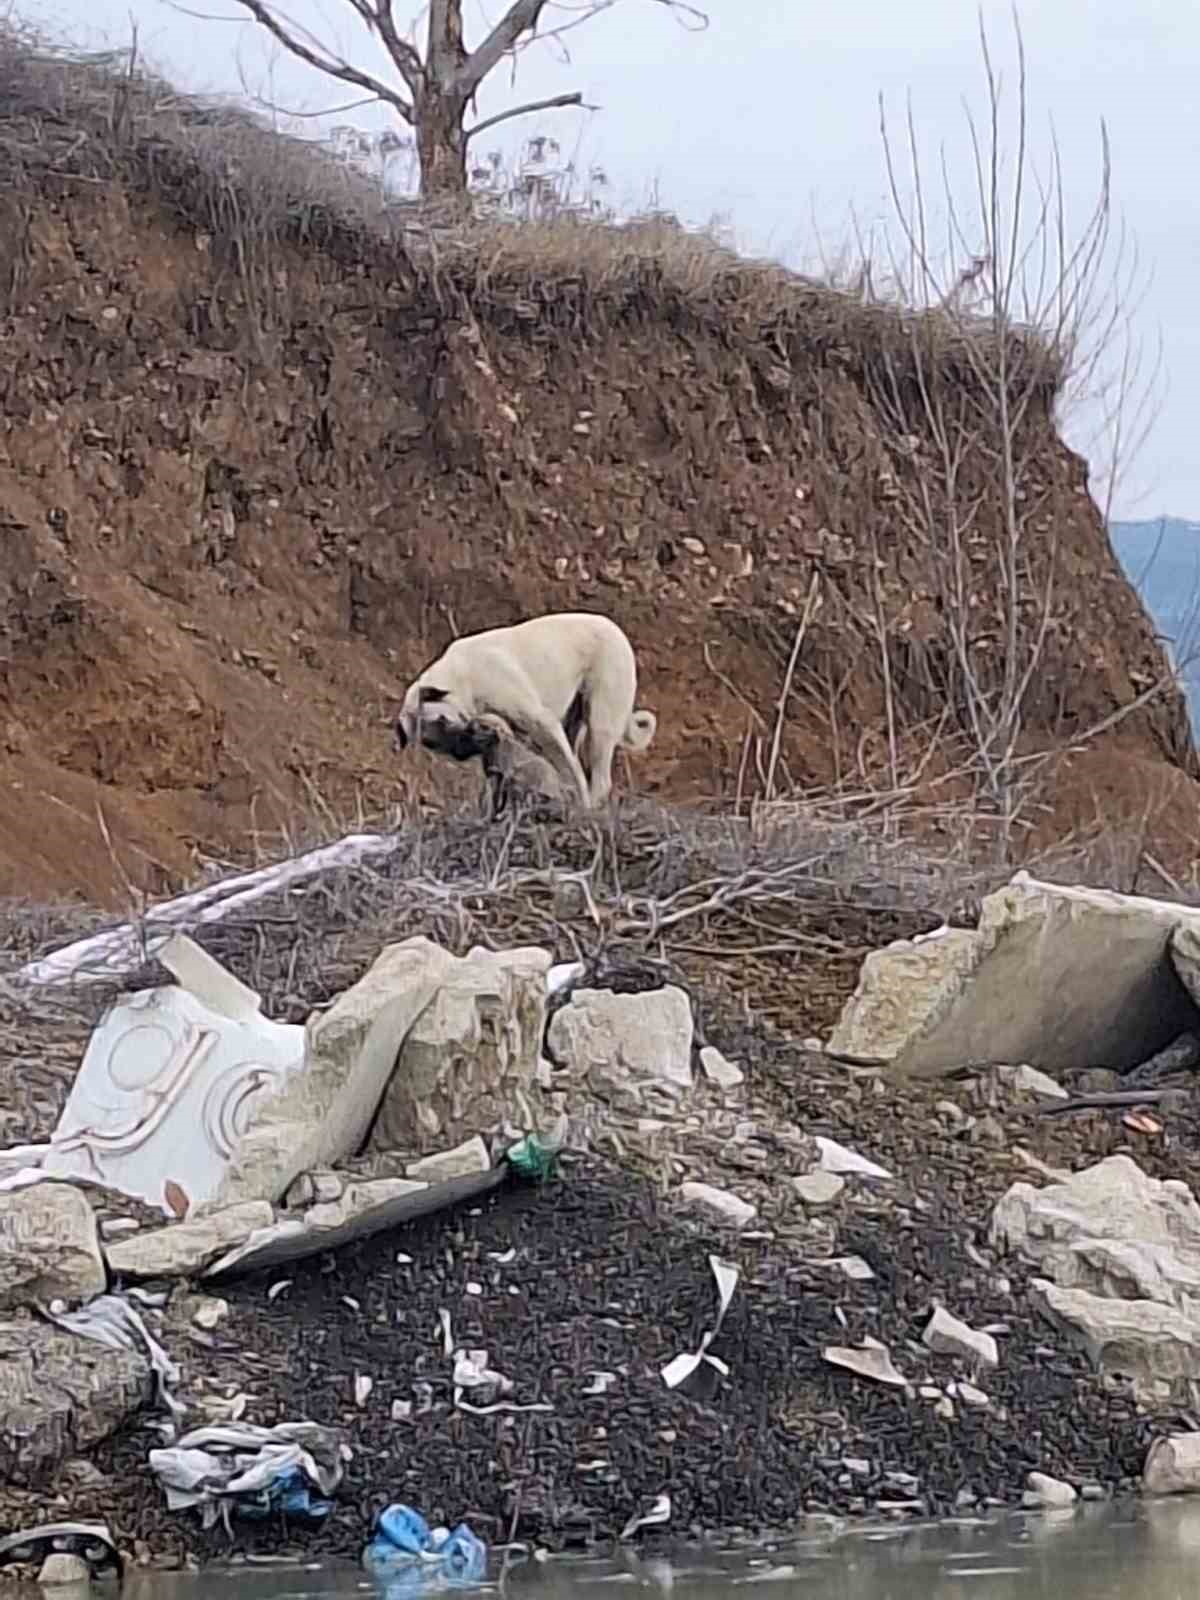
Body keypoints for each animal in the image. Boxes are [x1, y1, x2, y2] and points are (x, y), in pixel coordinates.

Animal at [395, 611, 659, 812]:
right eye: (432, 743)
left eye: (442, 720)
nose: (459, 753)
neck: (462, 678)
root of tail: (616, 629)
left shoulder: (542, 724)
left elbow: (571, 772)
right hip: (574, 724)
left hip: (600, 725)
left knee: (598, 778)